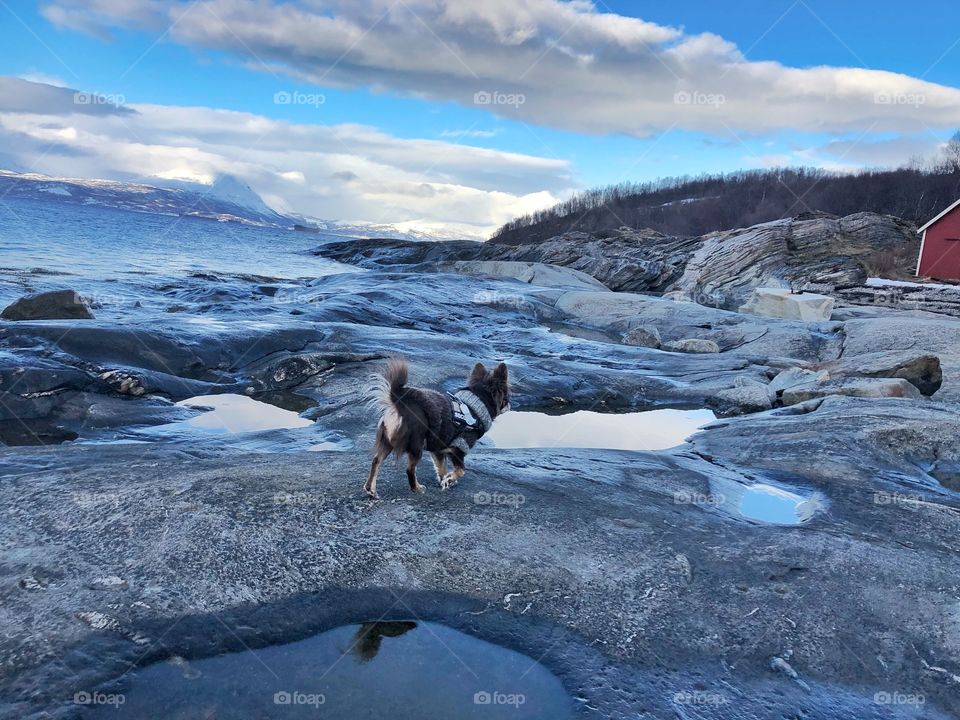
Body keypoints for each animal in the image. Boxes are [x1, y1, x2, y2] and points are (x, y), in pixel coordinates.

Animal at [364, 358, 510, 498]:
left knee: (376, 461)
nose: (510, 406)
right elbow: (461, 470)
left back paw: (371, 489)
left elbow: (441, 467)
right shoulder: (459, 446)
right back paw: (416, 488)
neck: (475, 406)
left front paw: (445, 480)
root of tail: (399, 403)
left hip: (387, 442)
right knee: (409, 469)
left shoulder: (438, 447)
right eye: (507, 398)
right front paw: (449, 479)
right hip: (416, 445)